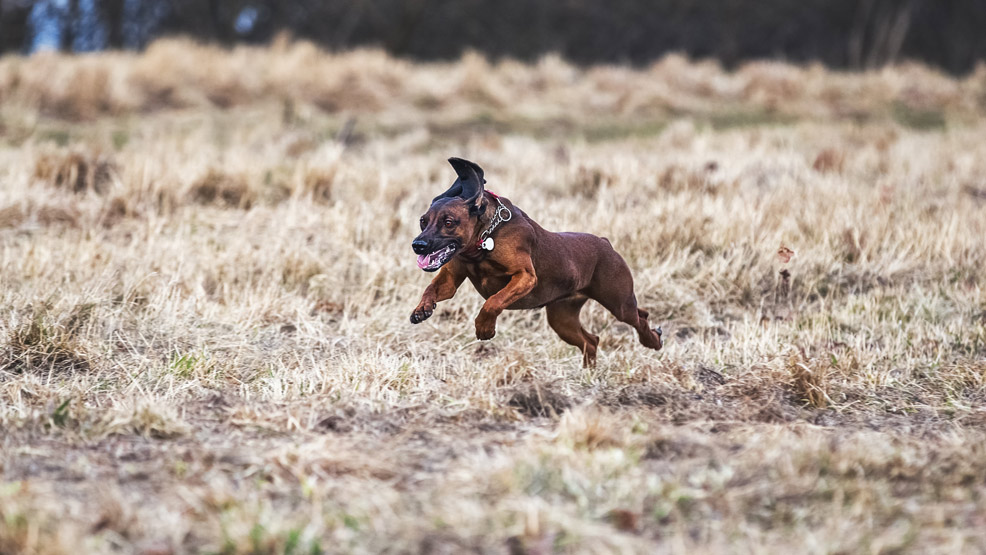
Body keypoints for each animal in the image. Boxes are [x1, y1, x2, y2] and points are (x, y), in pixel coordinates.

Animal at [408, 157, 660, 364]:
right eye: (423, 221)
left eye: (449, 222)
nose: (418, 245)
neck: (485, 239)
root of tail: (605, 243)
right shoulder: (451, 279)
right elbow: (431, 289)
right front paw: (422, 308)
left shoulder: (525, 277)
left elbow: (494, 301)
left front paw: (485, 328)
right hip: (562, 319)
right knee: (591, 341)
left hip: (619, 303)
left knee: (641, 317)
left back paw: (653, 340)